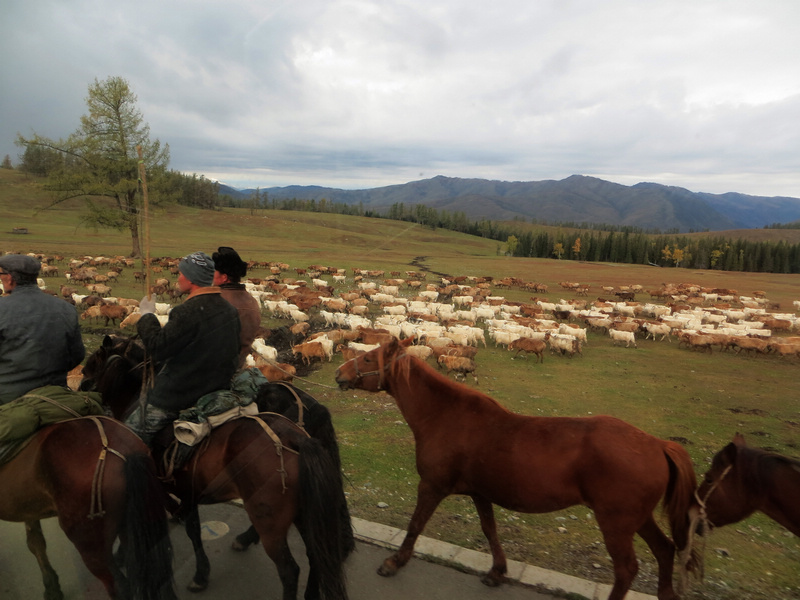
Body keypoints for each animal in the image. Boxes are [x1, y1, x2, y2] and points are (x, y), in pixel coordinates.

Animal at [0, 418, 174, 600]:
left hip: (91, 545)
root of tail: (126, 454)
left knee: (119, 587)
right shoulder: (26, 505)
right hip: (134, 528)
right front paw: (52, 588)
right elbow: (35, 541)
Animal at [80, 338, 350, 600]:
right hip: (305, 512)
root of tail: (297, 438)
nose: (81, 385)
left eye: (93, 363)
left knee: (290, 570)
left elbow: (190, 531)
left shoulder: (173, 489)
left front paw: (199, 574)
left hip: (271, 524)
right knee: (317, 554)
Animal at [334, 338, 696, 600]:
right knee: (665, 551)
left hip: (616, 523)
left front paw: (394, 562)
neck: (445, 416)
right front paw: (497, 570)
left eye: (369, 359)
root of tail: (656, 444)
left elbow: (415, 525)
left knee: (626, 570)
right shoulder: (480, 492)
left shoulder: (432, 486)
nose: (339, 374)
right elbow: (490, 531)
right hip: (638, 518)